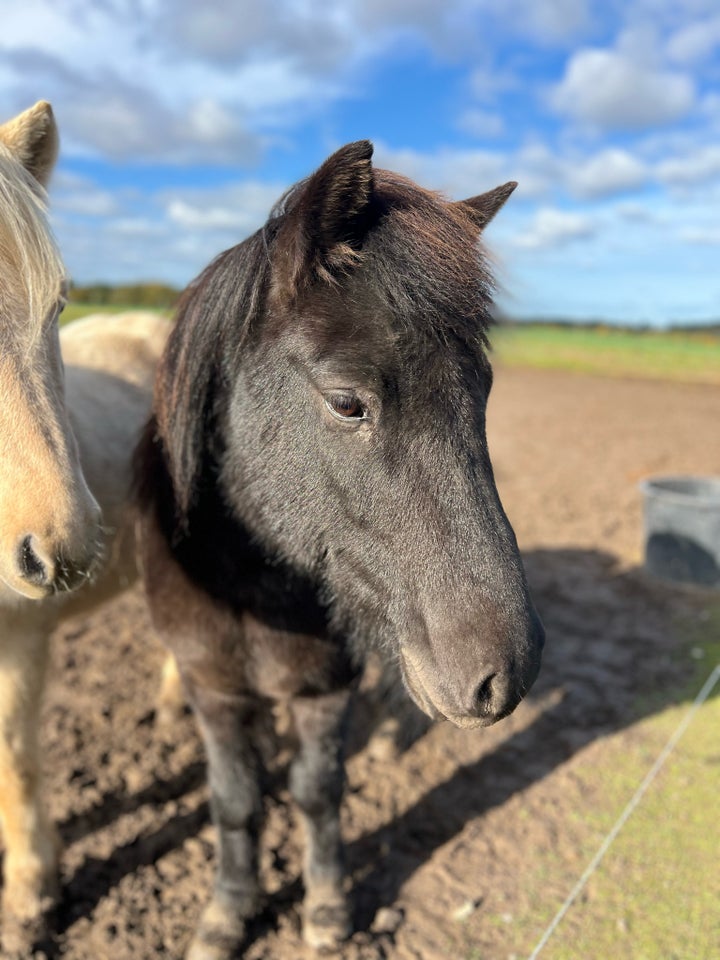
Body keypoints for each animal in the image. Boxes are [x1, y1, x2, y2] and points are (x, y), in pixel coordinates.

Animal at [135, 142, 544, 960]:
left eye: (483, 390)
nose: (506, 673)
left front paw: (326, 908)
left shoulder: (326, 688)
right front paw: (227, 914)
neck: (253, 590)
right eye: (347, 403)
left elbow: (317, 794)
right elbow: (235, 800)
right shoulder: (213, 689)